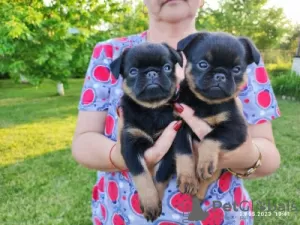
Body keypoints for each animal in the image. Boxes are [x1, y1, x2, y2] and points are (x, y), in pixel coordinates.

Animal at [110, 42, 183, 221]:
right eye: (133, 71)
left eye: (167, 67)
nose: (151, 72)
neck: (152, 110)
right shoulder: (130, 143)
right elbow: (141, 174)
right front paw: (150, 201)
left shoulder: (171, 146)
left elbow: (160, 174)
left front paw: (154, 200)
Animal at [175, 31, 262, 200]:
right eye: (203, 64)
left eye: (236, 69)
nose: (220, 75)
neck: (205, 103)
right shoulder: (179, 125)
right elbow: (184, 152)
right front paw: (188, 178)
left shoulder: (235, 128)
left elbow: (210, 137)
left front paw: (205, 162)